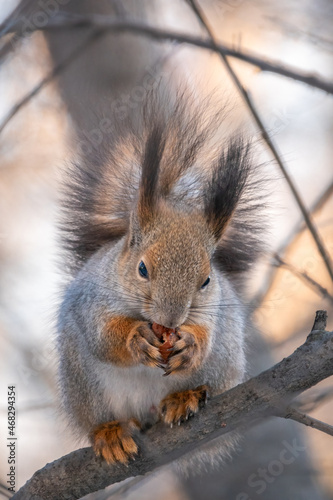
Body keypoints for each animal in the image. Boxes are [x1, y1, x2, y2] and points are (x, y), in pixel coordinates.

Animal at [57, 92, 264, 466]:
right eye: (142, 269)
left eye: (206, 280)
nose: (170, 319)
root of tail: (149, 411)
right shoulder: (90, 302)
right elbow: (104, 337)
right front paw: (135, 339)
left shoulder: (213, 310)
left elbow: (205, 334)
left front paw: (191, 344)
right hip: (84, 383)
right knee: (102, 413)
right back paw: (110, 433)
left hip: (223, 364)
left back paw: (186, 397)